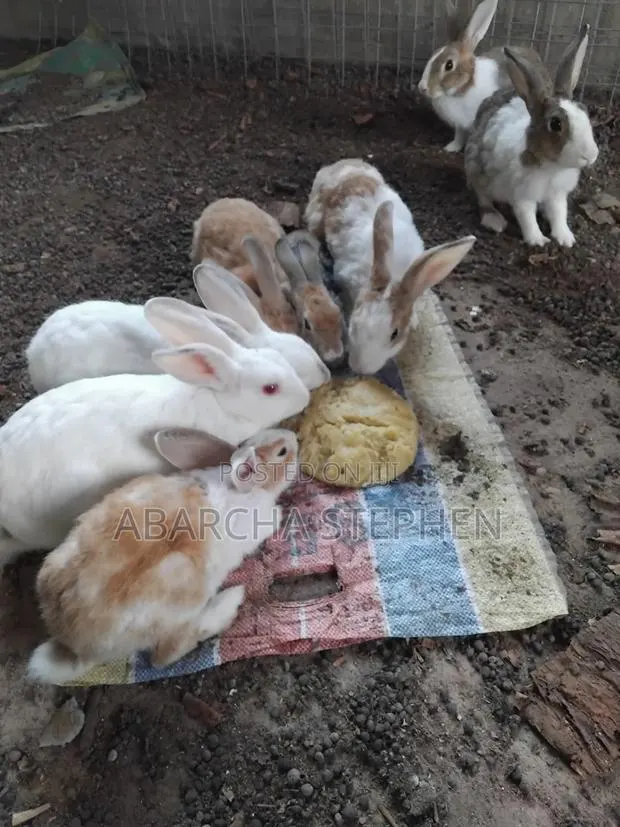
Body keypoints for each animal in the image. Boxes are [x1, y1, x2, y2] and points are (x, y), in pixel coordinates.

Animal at [27, 427, 298, 684]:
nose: (295, 436)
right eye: (282, 452)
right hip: (184, 594)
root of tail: (77, 645)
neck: (241, 490)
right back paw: (228, 603)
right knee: (165, 655)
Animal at [417, 0, 544, 152]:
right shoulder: (460, 126)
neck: (464, 87)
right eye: (433, 55)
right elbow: (459, 136)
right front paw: (451, 148)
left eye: (449, 65)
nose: (422, 87)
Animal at [464, 23, 598, 248]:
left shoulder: (557, 195)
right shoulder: (522, 194)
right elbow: (526, 216)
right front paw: (538, 241)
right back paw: (494, 220)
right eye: (555, 124)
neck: (552, 167)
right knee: (483, 197)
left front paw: (565, 238)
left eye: (585, 111)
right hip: (476, 168)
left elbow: (559, 214)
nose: (591, 155)